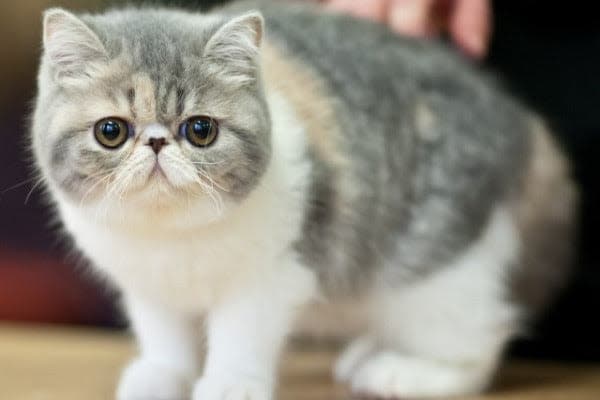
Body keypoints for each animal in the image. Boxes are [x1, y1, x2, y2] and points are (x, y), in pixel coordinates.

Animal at [31, 1, 576, 398]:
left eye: (201, 130)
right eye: (111, 131)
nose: (157, 142)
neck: (173, 236)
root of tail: (521, 121)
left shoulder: (273, 275)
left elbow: (242, 333)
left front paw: (230, 385)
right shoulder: (147, 284)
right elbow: (164, 332)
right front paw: (161, 376)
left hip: (441, 263)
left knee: (480, 334)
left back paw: (412, 372)